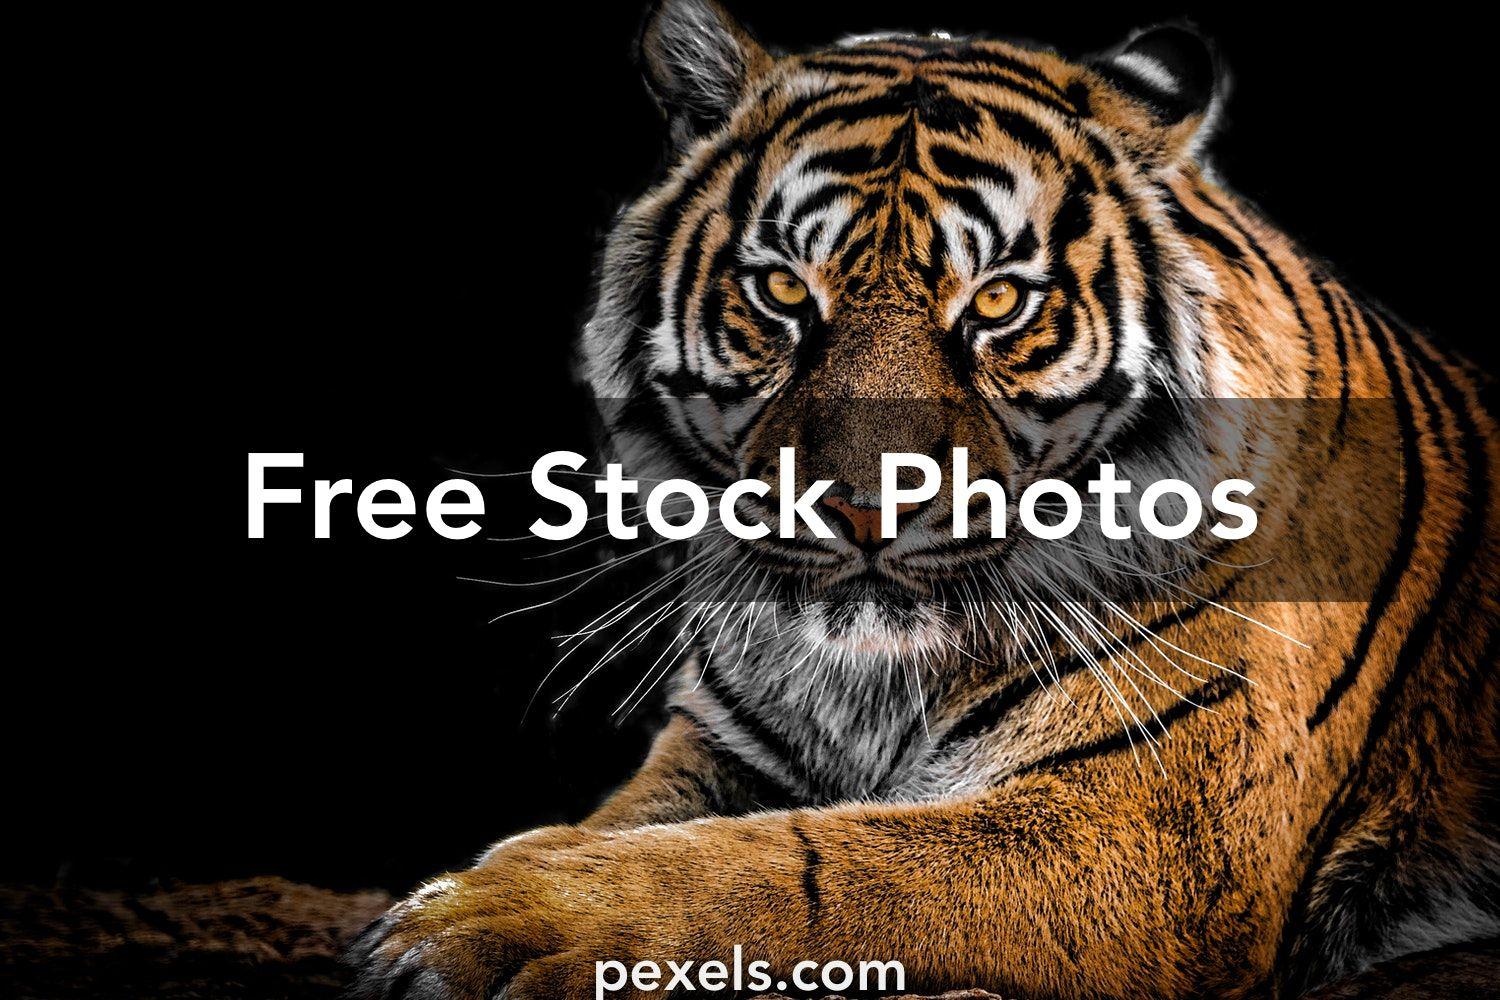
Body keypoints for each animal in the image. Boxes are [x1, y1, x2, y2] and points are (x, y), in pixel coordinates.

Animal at [346, 2, 1499, 998]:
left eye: (998, 301)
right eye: (783, 290)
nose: (866, 505)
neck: (870, 684)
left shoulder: (1153, 831)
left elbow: (798, 868)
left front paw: (485, 921)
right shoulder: (722, 746)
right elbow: (635, 823)